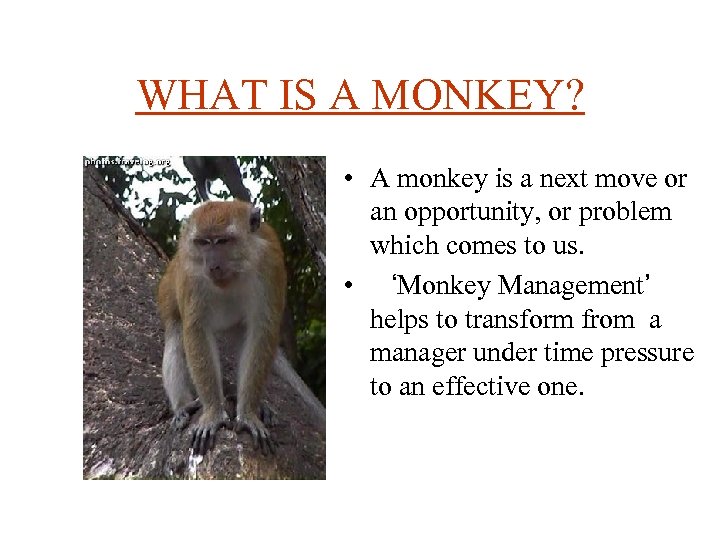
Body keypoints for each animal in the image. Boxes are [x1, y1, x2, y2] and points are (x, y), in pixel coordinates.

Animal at [158, 200, 286, 455]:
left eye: (223, 241)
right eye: (203, 243)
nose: (213, 265)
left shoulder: (270, 265)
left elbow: (262, 331)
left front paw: (248, 414)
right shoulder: (190, 274)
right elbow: (195, 330)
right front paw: (213, 413)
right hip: (168, 291)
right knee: (176, 334)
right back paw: (182, 407)